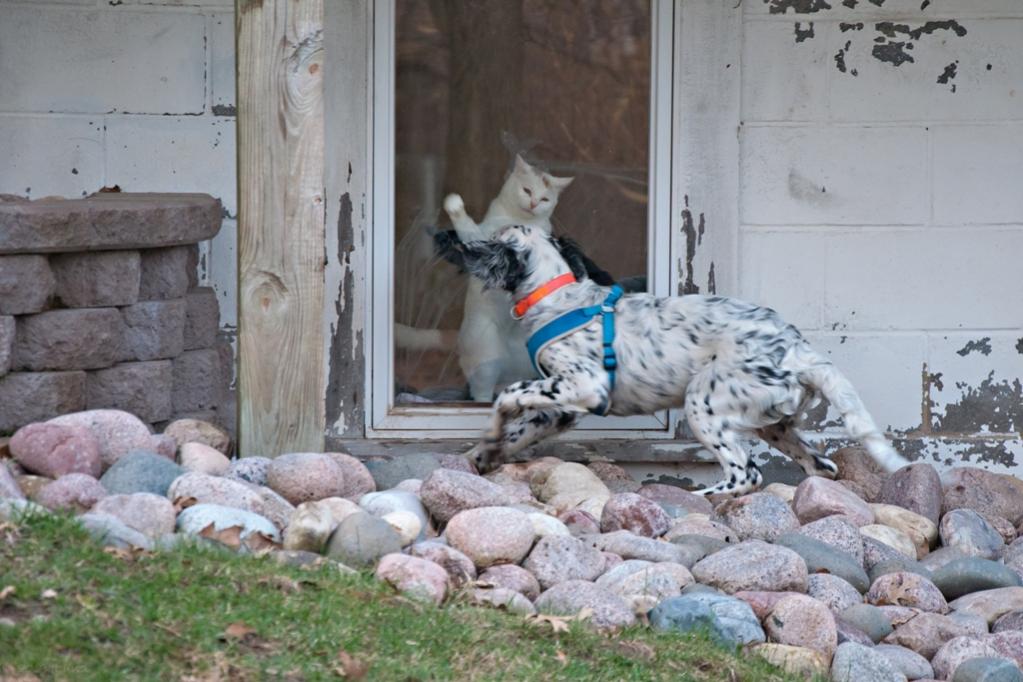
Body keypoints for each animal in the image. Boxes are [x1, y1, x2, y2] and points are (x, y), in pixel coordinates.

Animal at [435, 223, 908, 496]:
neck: (558, 294)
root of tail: (797, 348)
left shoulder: (582, 386)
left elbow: (508, 395)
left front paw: (490, 433)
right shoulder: (561, 408)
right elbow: (519, 427)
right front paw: (484, 454)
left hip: (705, 403)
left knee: (746, 474)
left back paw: (694, 503)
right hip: (774, 424)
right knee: (821, 466)